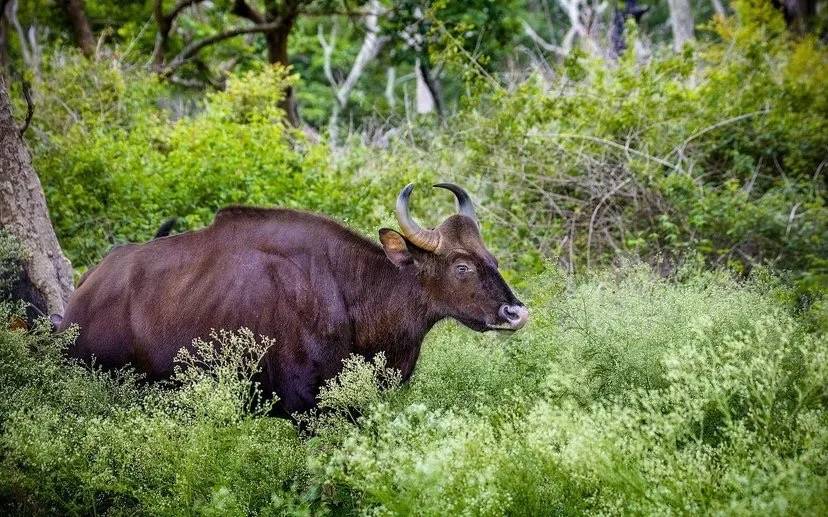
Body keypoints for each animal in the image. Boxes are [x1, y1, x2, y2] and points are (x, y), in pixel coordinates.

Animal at [63, 183, 532, 414]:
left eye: (492, 258)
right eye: (461, 266)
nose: (516, 312)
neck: (353, 296)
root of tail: (80, 295)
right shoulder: (309, 408)